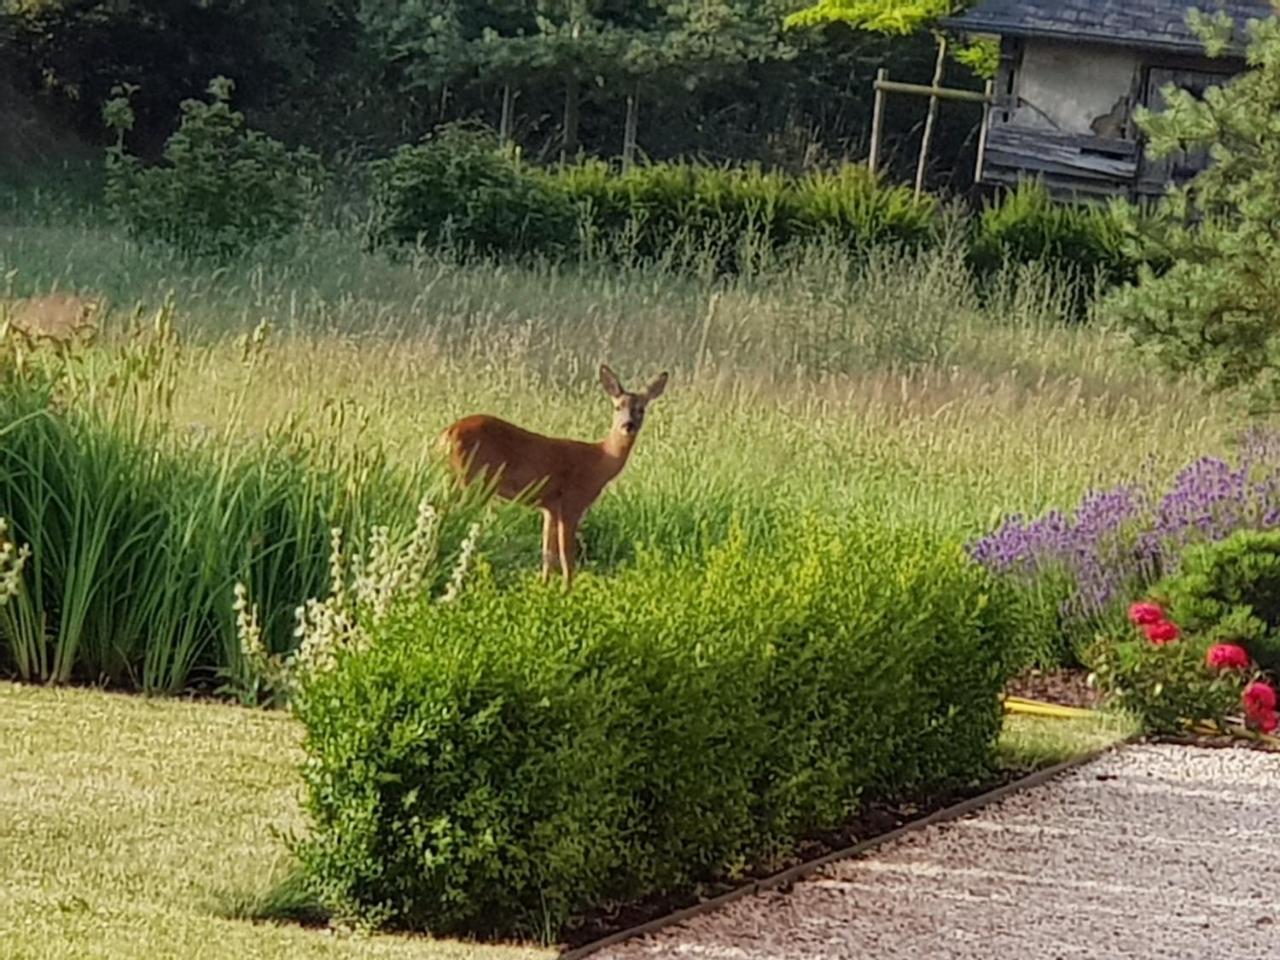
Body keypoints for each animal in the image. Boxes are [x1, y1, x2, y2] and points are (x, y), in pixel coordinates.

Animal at [440, 363, 670, 591]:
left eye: (641, 409)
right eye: (617, 407)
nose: (628, 425)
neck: (600, 461)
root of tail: (447, 432)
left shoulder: (550, 507)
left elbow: (548, 553)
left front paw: (544, 586)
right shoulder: (571, 501)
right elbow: (567, 554)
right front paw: (567, 590)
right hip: (472, 481)